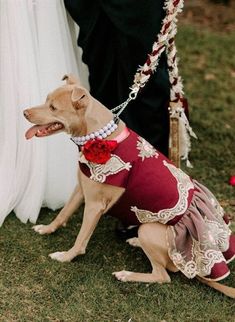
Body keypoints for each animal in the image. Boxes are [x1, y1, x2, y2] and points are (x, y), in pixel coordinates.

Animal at [23, 75, 235, 296]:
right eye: (46, 101)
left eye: (53, 108)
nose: (24, 113)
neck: (99, 136)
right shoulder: (81, 189)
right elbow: (63, 213)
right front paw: (47, 229)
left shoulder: (94, 205)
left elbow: (81, 239)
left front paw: (66, 256)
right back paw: (135, 242)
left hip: (149, 230)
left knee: (163, 275)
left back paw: (127, 274)